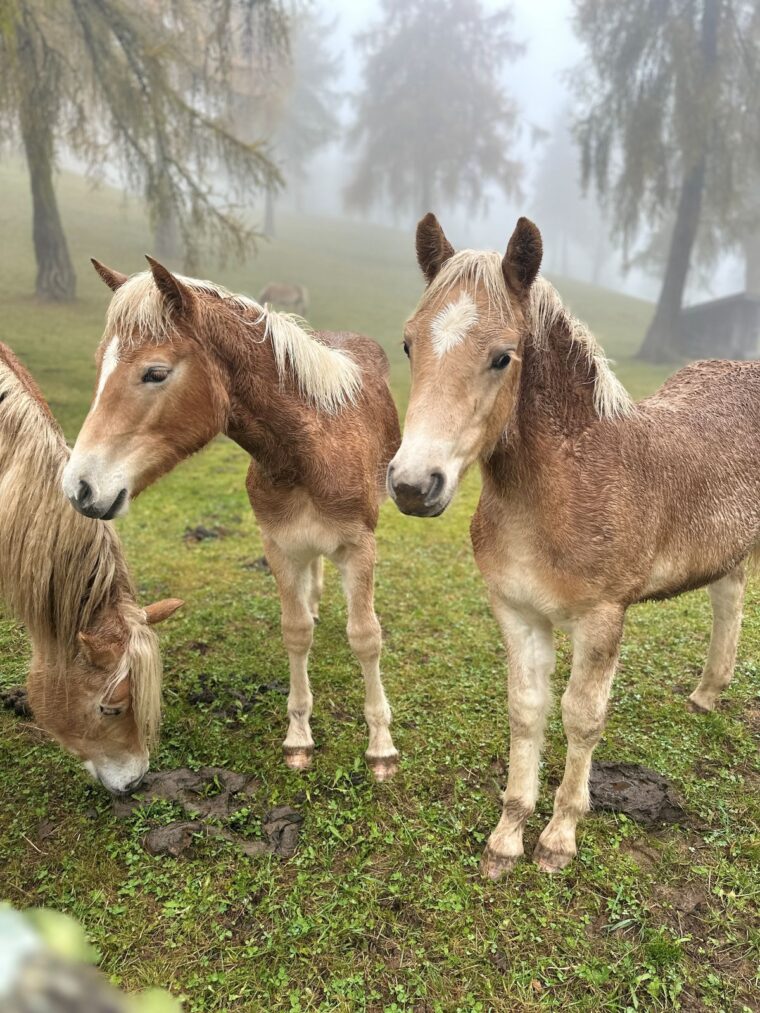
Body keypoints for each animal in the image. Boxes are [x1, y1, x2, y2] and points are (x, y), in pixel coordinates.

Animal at [62, 257, 401, 780]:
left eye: (155, 372)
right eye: (101, 364)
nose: (80, 488)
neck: (307, 452)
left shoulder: (359, 546)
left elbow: (366, 637)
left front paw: (381, 746)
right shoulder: (278, 544)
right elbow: (295, 630)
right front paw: (298, 737)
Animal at [388, 213, 760, 876]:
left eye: (502, 356)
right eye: (409, 344)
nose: (412, 484)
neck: (563, 489)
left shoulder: (602, 619)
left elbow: (582, 718)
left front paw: (560, 837)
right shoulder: (517, 612)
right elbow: (527, 709)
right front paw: (507, 837)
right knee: (729, 599)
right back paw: (705, 695)